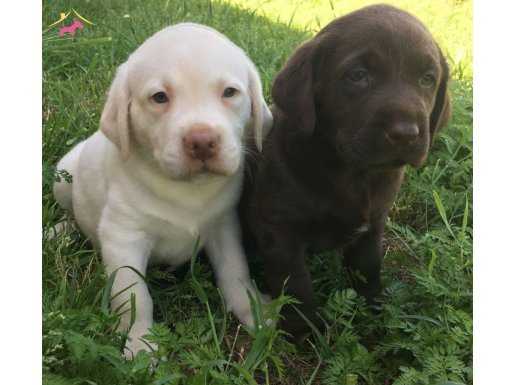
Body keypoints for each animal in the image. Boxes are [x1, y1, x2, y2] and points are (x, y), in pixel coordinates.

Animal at [52, 23, 274, 356]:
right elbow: (133, 296)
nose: (202, 141)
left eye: (230, 93)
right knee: (70, 213)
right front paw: (140, 343)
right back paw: (59, 232)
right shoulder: (123, 237)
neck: (187, 191)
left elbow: (235, 271)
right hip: (63, 176)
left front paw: (254, 310)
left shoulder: (224, 224)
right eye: (159, 97)